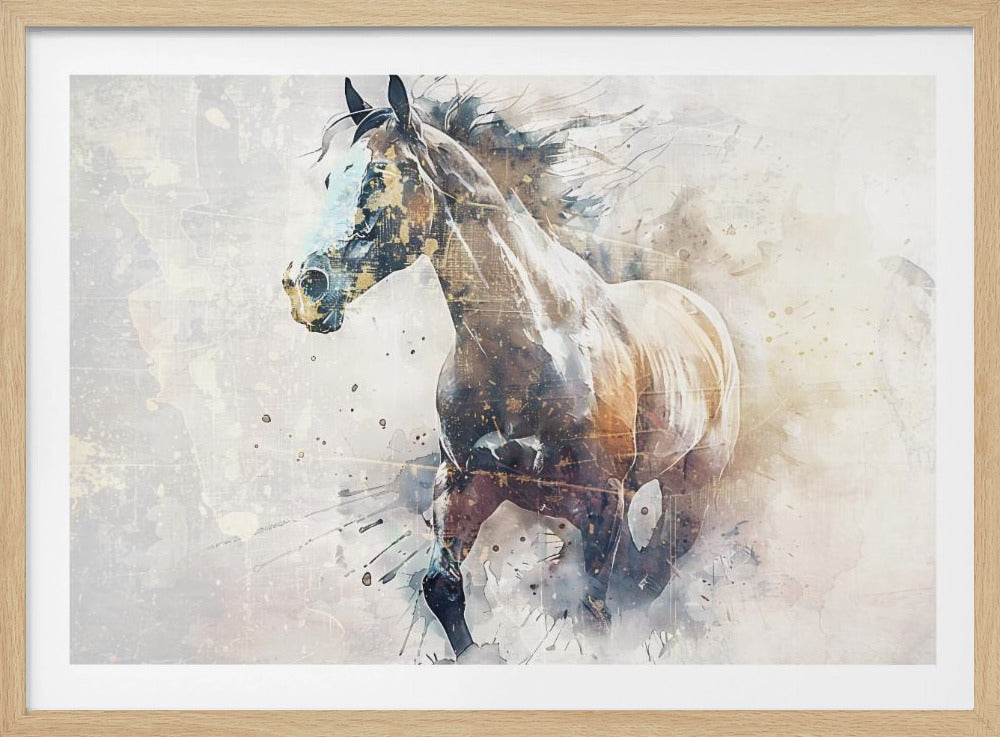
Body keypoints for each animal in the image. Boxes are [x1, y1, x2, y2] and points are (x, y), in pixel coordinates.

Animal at [283, 76, 740, 660]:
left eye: (380, 175)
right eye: (328, 178)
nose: (304, 286)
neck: (526, 353)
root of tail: (702, 314)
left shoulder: (603, 505)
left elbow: (592, 608)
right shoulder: (464, 482)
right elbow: (443, 588)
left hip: (692, 484)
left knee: (662, 560)